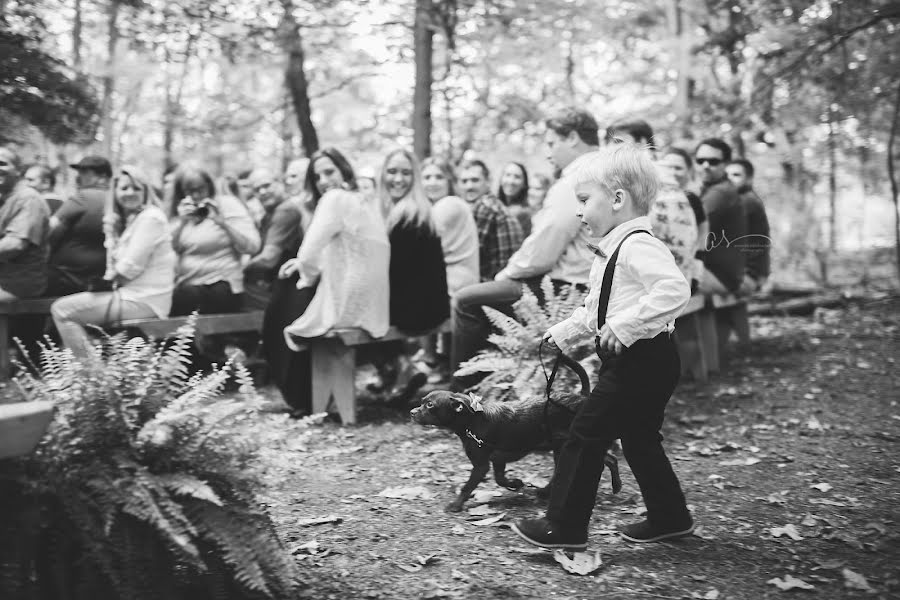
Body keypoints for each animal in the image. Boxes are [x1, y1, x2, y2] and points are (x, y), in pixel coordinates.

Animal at [408, 354, 620, 512]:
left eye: (429, 405)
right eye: (422, 401)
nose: (411, 412)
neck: (472, 422)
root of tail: (582, 397)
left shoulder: (481, 465)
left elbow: (468, 486)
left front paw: (456, 505)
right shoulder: (497, 460)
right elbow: (500, 479)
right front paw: (515, 483)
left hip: (574, 442)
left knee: (610, 459)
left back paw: (616, 485)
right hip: (560, 446)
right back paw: (545, 493)